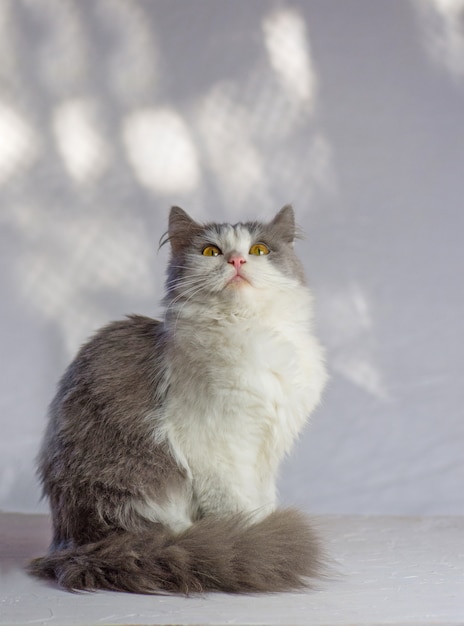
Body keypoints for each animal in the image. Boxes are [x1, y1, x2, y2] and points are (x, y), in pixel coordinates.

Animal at [29, 207, 326, 592]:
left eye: (260, 249)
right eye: (211, 252)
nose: (237, 260)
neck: (250, 332)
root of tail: (76, 545)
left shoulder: (266, 447)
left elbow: (261, 498)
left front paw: (264, 526)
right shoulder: (212, 445)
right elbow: (237, 504)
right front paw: (253, 535)